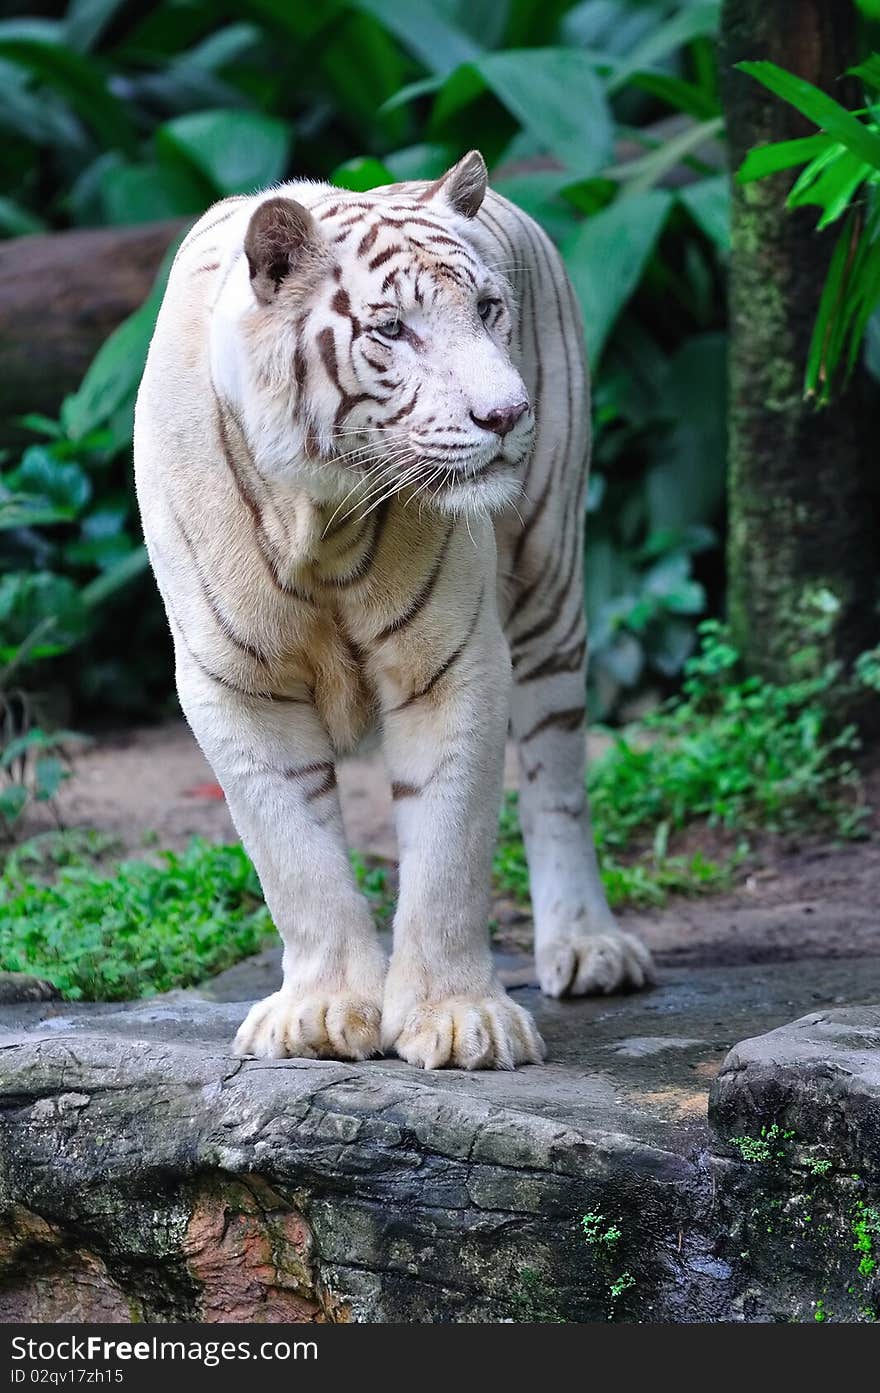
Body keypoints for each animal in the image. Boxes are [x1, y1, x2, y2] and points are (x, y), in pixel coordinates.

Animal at [132, 149, 654, 1064]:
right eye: (393, 330)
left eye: (486, 310)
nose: (508, 414)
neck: (323, 515)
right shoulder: (236, 684)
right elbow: (295, 858)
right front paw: (321, 1013)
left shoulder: (453, 664)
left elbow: (448, 851)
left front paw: (460, 1018)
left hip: (551, 583)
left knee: (556, 778)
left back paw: (589, 946)